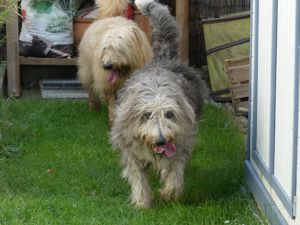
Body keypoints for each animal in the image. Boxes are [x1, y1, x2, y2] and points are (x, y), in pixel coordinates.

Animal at [109, 0, 206, 207]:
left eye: (169, 114)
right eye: (147, 115)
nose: (161, 140)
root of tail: (164, 57)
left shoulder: (182, 142)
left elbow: (175, 170)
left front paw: (169, 192)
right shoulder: (131, 150)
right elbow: (138, 176)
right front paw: (142, 202)